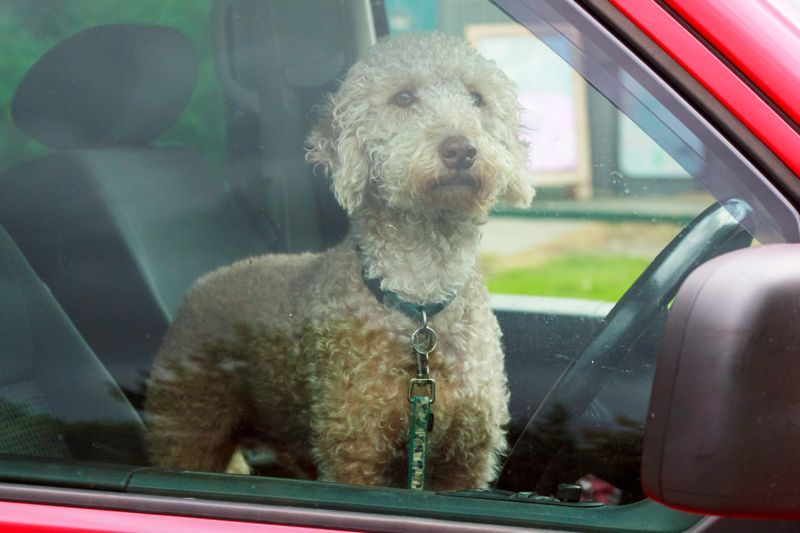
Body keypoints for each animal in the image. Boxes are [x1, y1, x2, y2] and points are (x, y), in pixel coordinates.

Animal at [147, 32, 536, 490]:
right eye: (403, 97)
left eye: (477, 98)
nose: (461, 149)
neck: (419, 298)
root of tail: (199, 285)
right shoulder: (354, 449)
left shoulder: (466, 460)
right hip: (187, 426)